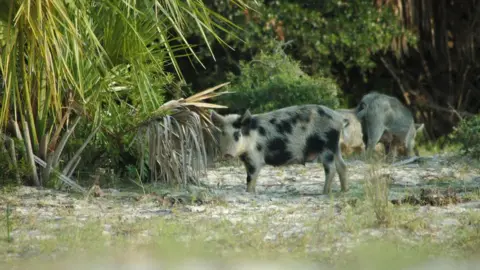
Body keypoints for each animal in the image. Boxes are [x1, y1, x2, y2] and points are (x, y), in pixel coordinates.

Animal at [210, 104, 348, 194]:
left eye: (237, 134)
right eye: (223, 133)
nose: (227, 154)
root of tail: (339, 118)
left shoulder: (256, 157)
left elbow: (250, 177)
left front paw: (249, 193)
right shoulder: (247, 159)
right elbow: (249, 177)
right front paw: (252, 192)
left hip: (327, 147)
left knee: (331, 169)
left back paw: (324, 193)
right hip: (335, 147)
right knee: (342, 166)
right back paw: (343, 191)